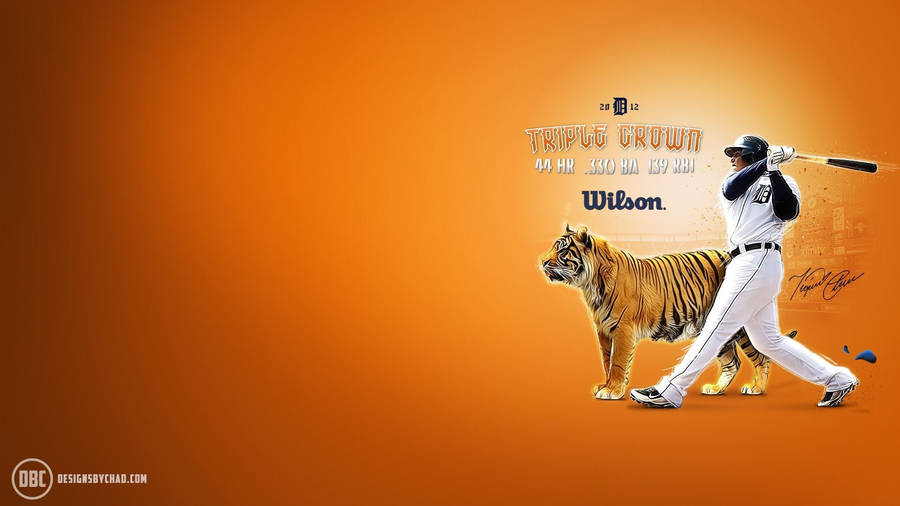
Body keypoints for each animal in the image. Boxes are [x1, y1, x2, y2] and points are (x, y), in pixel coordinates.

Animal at [539, 224, 795, 400]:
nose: (541, 262)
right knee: (732, 362)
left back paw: (756, 388)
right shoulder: (603, 330)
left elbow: (618, 362)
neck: (591, 285)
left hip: (740, 323)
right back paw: (716, 389)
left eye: (562, 251)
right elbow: (606, 361)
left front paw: (612, 391)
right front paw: (605, 386)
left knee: (761, 356)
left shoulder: (623, 329)